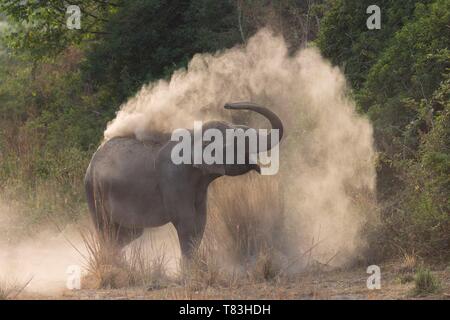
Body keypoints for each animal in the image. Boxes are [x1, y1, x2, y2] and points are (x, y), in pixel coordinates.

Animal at [85, 102, 284, 258]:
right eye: (238, 141)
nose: (227, 104)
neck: (195, 136)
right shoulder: (174, 178)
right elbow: (185, 221)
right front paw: (189, 271)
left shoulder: (199, 185)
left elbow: (201, 220)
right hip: (94, 192)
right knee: (106, 231)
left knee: (128, 233)